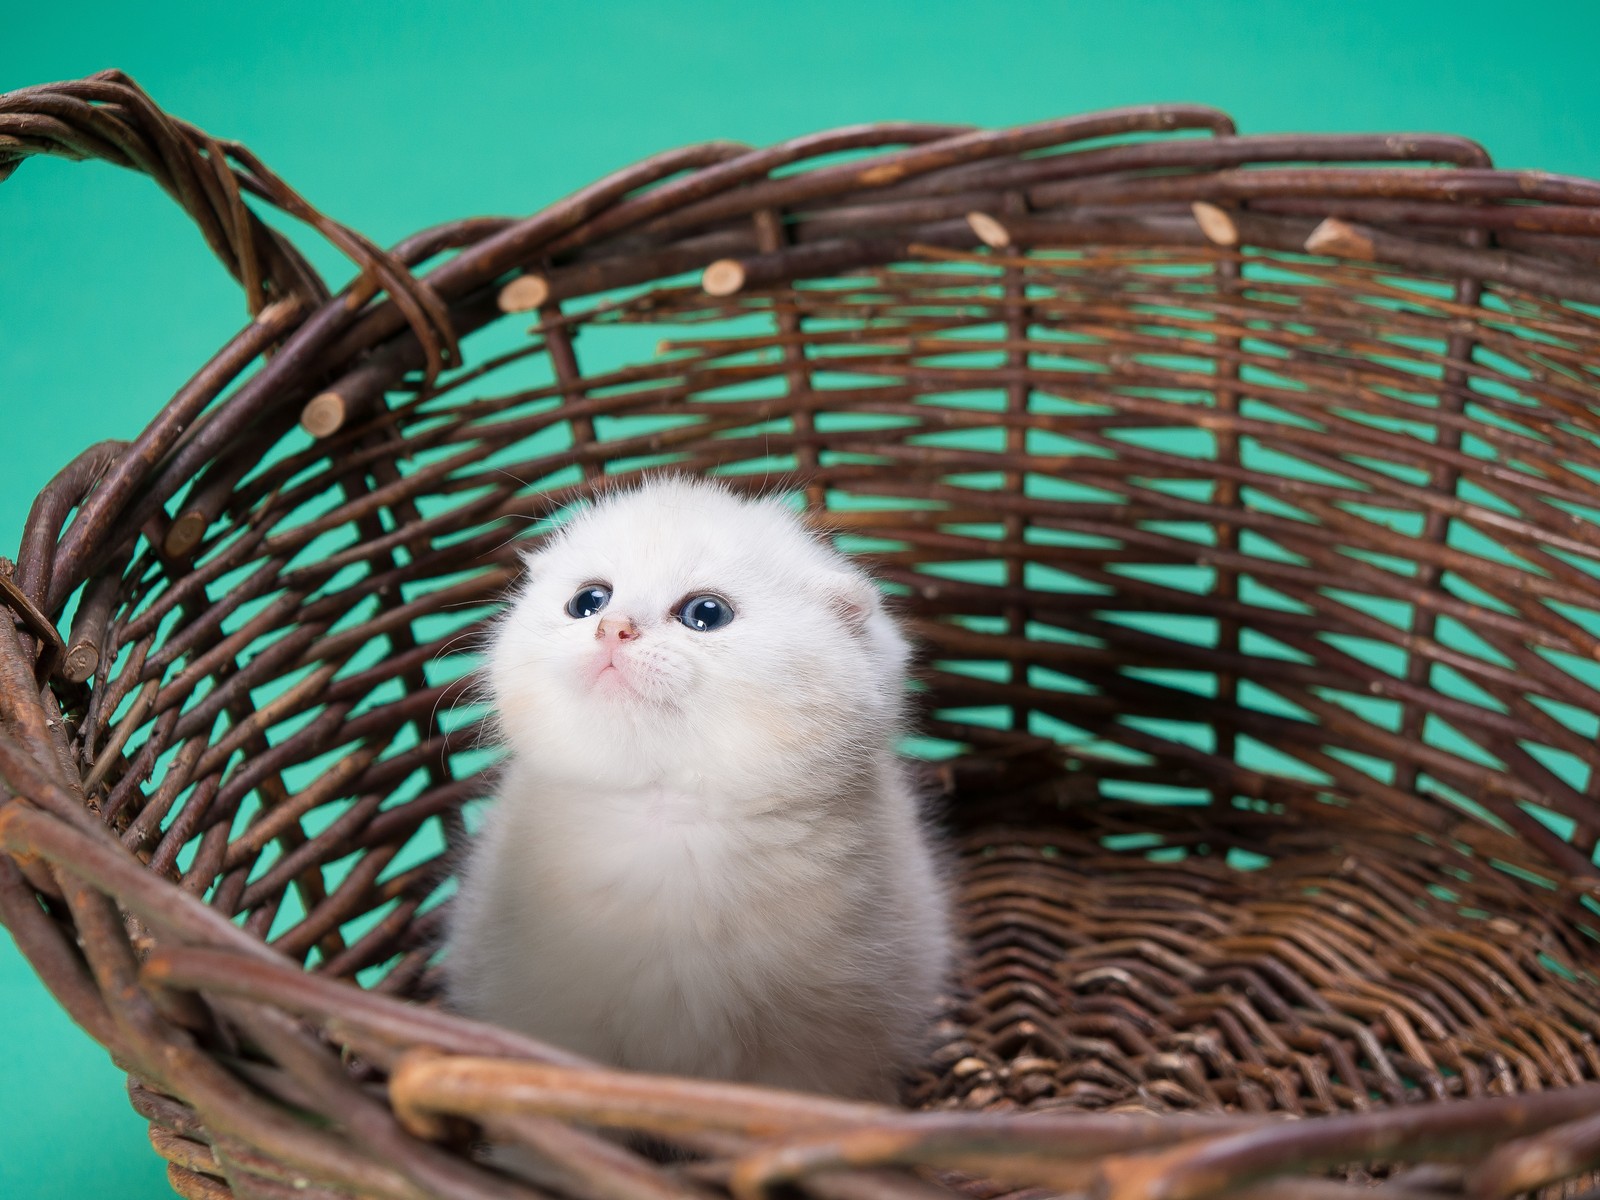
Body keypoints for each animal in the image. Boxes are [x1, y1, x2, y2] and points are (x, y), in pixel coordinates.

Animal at [444, 473, 947, 1107]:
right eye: (588, 601)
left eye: (706, 613)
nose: (613, 627)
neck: (670, 819)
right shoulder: (547, 1015)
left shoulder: (822, 1044)